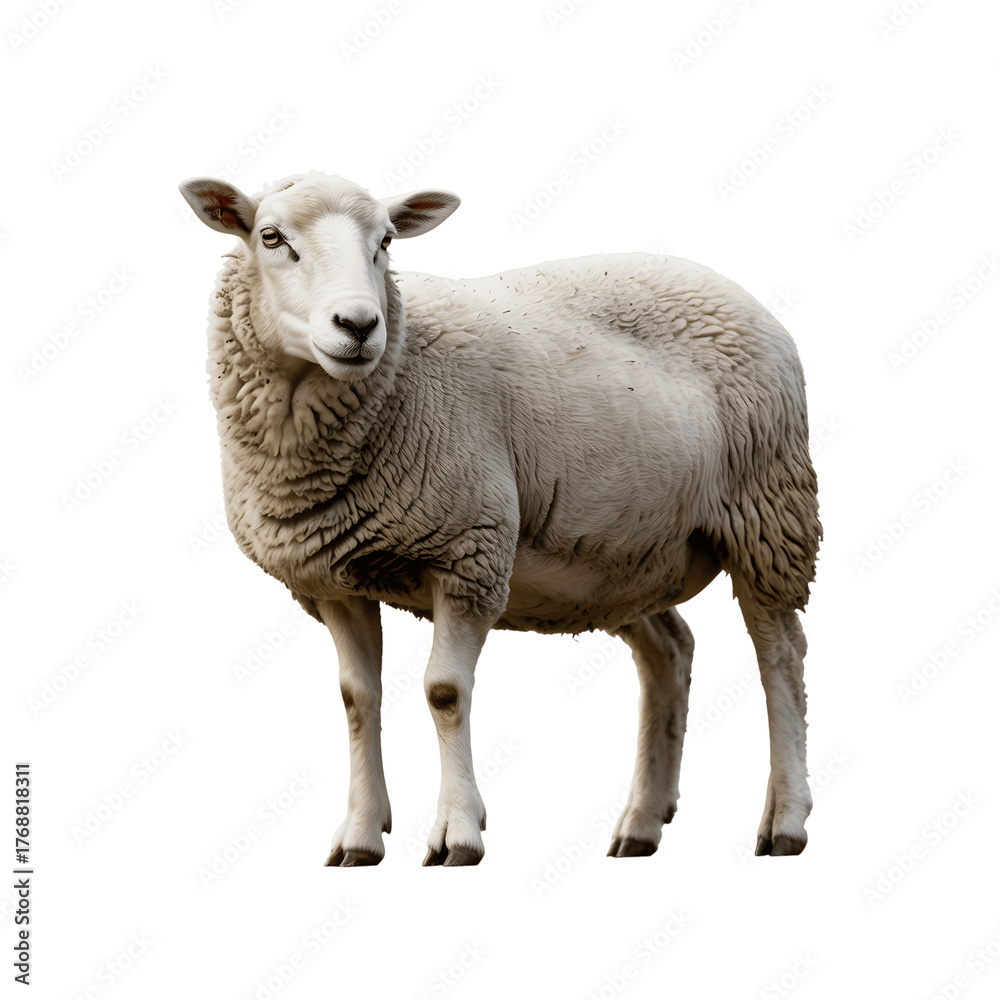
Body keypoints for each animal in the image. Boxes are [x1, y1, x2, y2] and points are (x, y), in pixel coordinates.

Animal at [179, 170, 821, 867]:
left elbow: (443, 691)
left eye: (386, 241)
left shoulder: (468, 551)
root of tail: (729, 287)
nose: (359, 325)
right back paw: (642, 824)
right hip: (628, 552)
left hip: (768, 513)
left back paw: (786, 820)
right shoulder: (332, 579)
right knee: (670, 653)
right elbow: (357, 698)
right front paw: (360, 836)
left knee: (780, 655)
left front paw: (458, 832)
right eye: (270, 237)